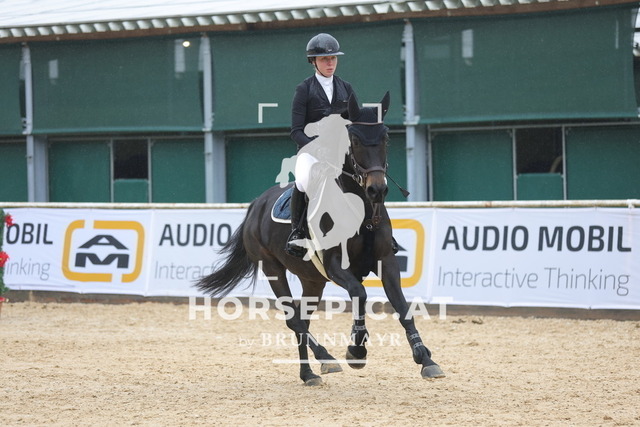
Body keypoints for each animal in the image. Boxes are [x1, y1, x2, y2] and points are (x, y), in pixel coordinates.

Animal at [196, 92, 445, 386]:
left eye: (385, 137)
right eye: (354, 140)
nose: (377, 190)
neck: (359, 209)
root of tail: (256, 204)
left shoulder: (386, 261)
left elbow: (403, 307)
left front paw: (425, 358)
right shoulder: (335, 264)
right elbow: (359, 294)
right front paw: (356, 351)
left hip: (312, 279)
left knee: (303, 319)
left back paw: (309, 372)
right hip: (272, 268)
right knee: (294, 319)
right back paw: (324, 359)